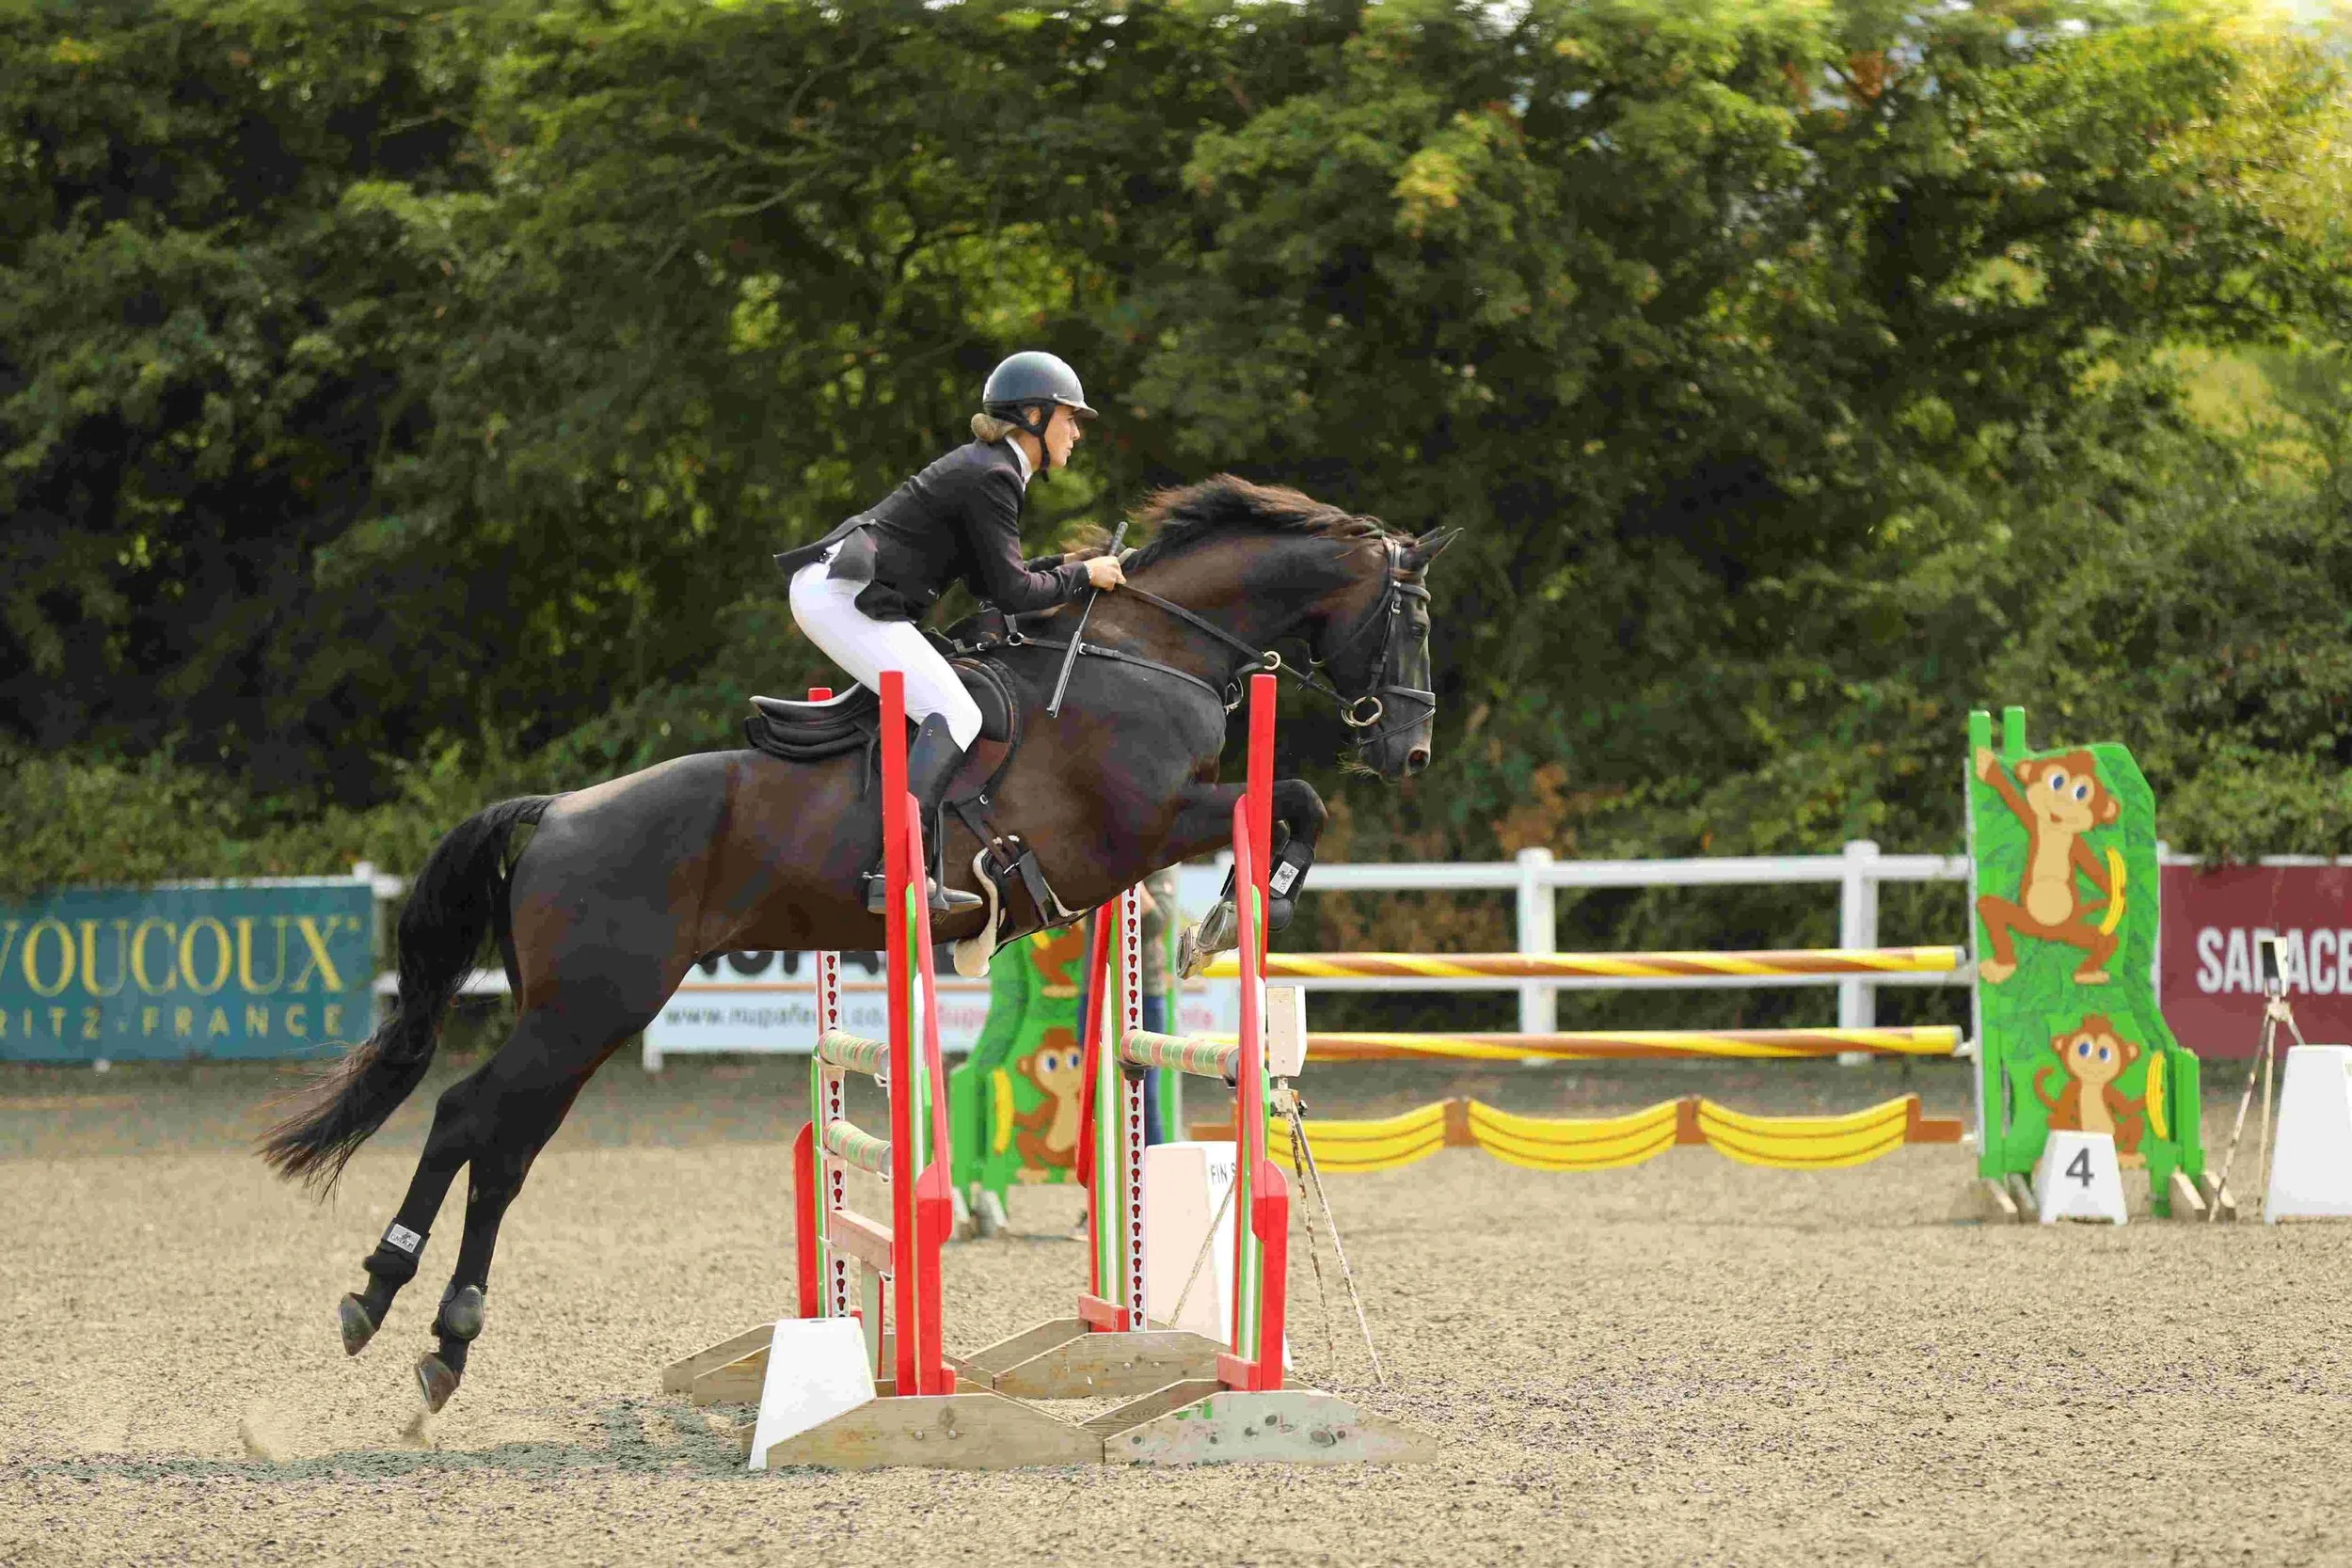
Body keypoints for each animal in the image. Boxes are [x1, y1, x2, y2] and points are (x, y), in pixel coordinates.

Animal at [260, 473, 1456, 1413]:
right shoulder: (1144, 824)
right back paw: (378, 1293)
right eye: (1411, 620)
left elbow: (1290, 804)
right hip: (590, 1005)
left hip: (586, 1014)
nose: (1409, 750)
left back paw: (445, 1339)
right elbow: (1292, 802)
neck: (1146, 651)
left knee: (506, 1145)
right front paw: (1231, 913)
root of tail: (556, 809)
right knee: (471, 1117)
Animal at [1973, 746, 2121, 985]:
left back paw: (2087, 974)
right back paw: (2002, 967)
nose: (2061, 806)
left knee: (2109, 941)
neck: (2056, 832)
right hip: (2025, 921)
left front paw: (2117, 895)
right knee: (1990, 909)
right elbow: (2013, 799)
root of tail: (2049, 934)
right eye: (2057, 781)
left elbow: (2096, 871)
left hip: (2072, 932)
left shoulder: (2079, 847)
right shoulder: (2032, 822)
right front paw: (1988, 767)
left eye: (2081, 792)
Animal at [2032, 1014, 2148, 1167]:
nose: (2093, 1062)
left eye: (2104, 1053)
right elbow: (2064, 1106)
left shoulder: (2109, 1090)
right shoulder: (2072, 1088)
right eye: (2083, 1049)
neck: (2092, 1085)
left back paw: (2128, 1157)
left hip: (2118, 1133)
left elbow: (2126, 1110)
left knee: (2136, 1121)